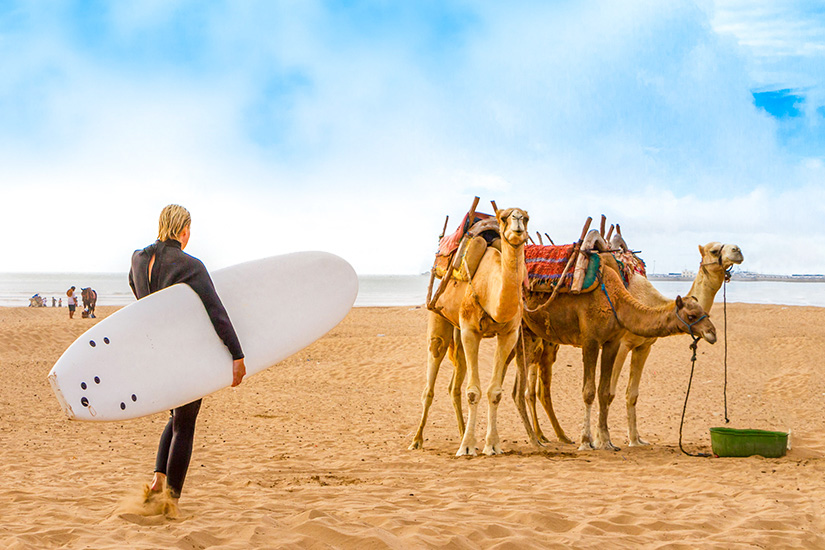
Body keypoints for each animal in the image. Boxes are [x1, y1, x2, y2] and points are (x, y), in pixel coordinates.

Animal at [408, 207, 536, 458]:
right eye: (504, 217)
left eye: (526, 217)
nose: (517, 220)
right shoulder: (470, 331)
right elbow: (473, 392)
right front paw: (467, 447)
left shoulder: (509, 334)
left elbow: (495, 391)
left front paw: (491, 445)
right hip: (439, 318)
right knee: (431, 380)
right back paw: (417, 440)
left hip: (458, 334)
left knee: (454, 385)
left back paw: (461, 434)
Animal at [520, 258, 716, 452]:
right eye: (691, 316)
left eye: (705, 313)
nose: (712, 333)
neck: (617, 302)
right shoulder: (590, 341)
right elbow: (589, 391)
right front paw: (586, 441)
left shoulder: (612, 342)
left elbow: (605, 391)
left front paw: (606, 441)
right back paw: (538, 439)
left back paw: (546, 437)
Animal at [608, 243, 744, 448]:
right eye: (714, 250)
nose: (737, 250)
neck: (649, 304)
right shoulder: (622, 344)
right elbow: (609, 391)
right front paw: (603, 441)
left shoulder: (644, 346)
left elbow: (632, 394)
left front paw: (636, 440)